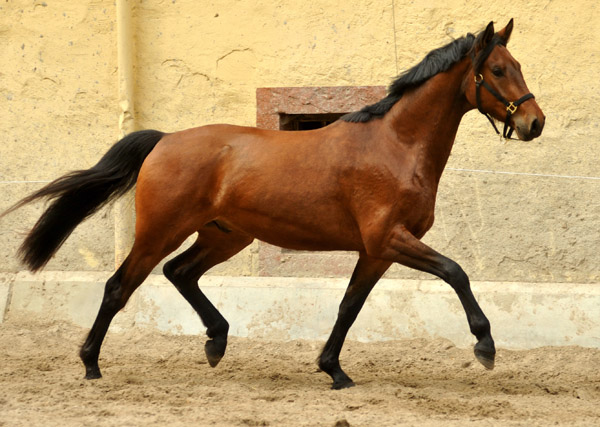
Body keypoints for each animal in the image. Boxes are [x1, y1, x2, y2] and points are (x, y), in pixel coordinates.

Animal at [2, 18, 544, 390]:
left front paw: (334, 370)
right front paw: (485, 346)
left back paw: (216, 341)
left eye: (520, 66)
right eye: (498, 69)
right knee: (120, 286)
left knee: (181, 272)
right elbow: (456, 272)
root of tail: (165, 139)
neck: (395, 145)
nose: (534, 123)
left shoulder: (376, 251)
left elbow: (349, 306)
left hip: (225, 235)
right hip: (160, 231)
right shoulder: (389, 238)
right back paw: (91, 363)